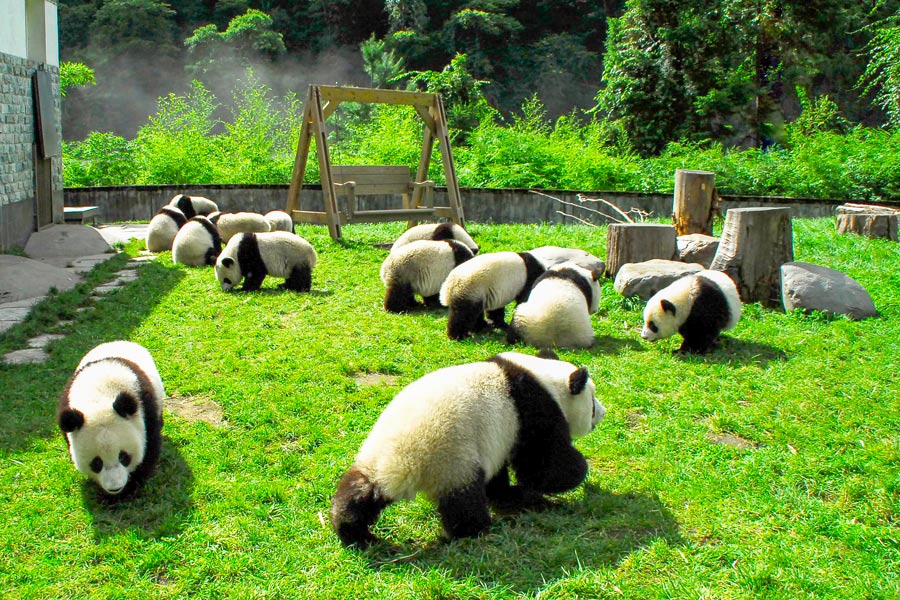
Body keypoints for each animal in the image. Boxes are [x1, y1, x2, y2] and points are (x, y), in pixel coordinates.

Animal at [57, 341, 165, 500]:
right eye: (96, 463)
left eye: (124, 457)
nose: (115, 488)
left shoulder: (145, 408)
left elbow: (149, 446)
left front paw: (128, 490)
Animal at [330, 350, 606, 548]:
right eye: (592, 402)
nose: (602, 413)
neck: (543, 377)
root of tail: (402, 463)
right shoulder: (532, 411)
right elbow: (543, 464)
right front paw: (576, 473)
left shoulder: (498, 436)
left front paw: (507, 492)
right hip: (452, 459)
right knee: (463, 501)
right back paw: (476, 529)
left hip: (376, 457)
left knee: (360, 491)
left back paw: (354, 531)